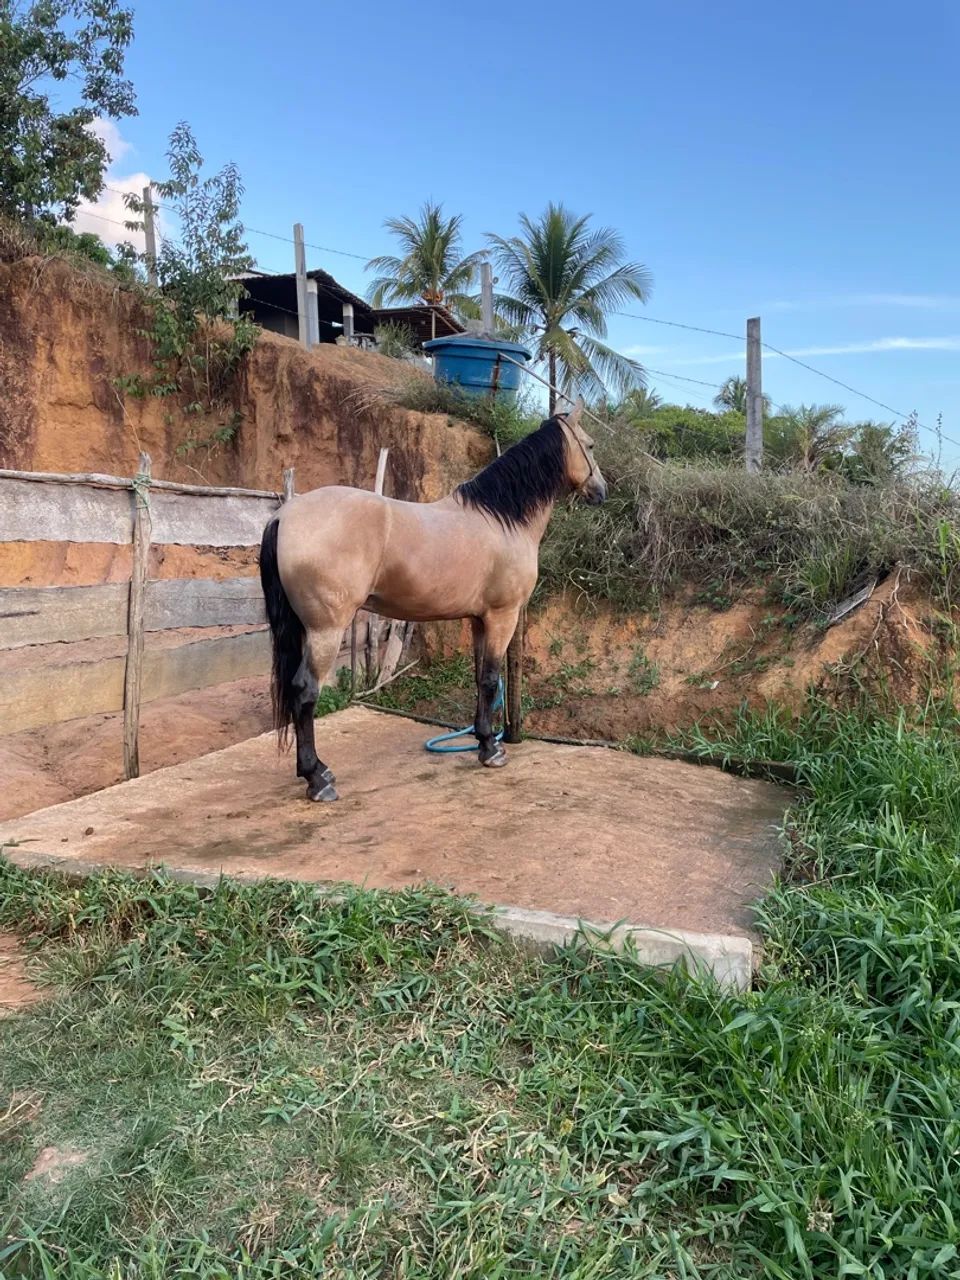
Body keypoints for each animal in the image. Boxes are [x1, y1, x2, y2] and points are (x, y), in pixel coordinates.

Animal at [258, 397, 606, 802]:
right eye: (591, 444)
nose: (601, 490)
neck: (502, 520)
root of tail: (285, 515)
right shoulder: (503, 616)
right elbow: (492, 679)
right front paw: (492, 751)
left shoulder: (479, 619)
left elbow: (480, 678)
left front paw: (483, 739)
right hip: (325, 630)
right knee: (304, 691)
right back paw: (318, 778)